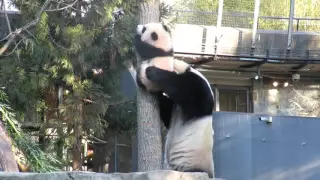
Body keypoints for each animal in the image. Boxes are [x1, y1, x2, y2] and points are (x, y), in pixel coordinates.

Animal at [132, 22, 215, 177]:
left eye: (145, 28)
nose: (138, 26)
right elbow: (167, 112)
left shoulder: (198, 91)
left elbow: (182, 89)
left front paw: (151, 71)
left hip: (192, 165)